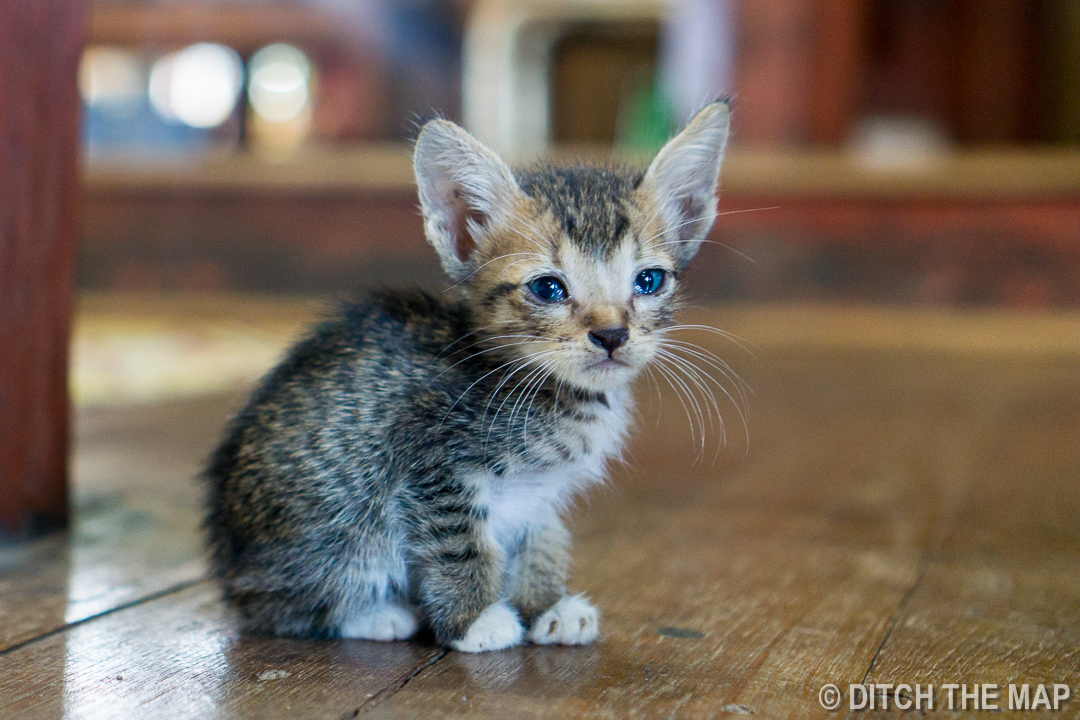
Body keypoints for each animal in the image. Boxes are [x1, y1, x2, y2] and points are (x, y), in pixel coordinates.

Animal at [203, 99, 734, 651]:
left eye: (649, 281)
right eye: (548, 288)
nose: (612, 334)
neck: (546, 390)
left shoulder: (539, 491)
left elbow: (543, 534)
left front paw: (546, 603)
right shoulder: (431, 465)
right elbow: (461, 545)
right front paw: (474, 619)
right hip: (342, 519)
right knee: (281, 603)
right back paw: (375, 615)